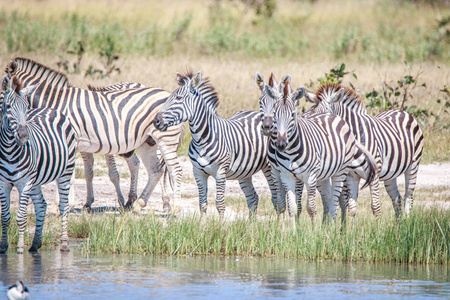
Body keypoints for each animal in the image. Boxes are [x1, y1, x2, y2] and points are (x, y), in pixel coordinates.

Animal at [0, 74, 77, 253]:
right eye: (8, 106)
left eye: (26, 108)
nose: (23, 136)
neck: (9, 151)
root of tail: (51, 109)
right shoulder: (3, 183)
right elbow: (5, 217)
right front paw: (4, 247)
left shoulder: (25, 182)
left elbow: (21, 217)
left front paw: (20, 248)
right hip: (36, 180)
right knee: (41, 206)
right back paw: (35, 244)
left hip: (65, 171)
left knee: (64, 206)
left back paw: (64, 243)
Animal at [5, 58, 185, 213]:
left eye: (3, 86)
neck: (55, 101)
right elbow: (85, 173)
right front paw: (79, 204)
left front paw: (60, 206)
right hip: (146, 142)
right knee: (155, 171)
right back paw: (138, 204)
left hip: (165, 139)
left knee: (174, 170)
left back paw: (172, 207)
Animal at [154, 72, 278, 218]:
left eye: (178, 98)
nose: (156, 121)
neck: (201, 140)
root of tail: (258, 113)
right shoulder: (198, 172)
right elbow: (202, 204)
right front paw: (201, 224)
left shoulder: (220, 171)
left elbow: (220, 203)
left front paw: (220, 225)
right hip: (244, 171)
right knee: (253, 197)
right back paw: (251, 224)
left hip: (269, 167)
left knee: (276, 197)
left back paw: (278, 222)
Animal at [264, 78, 376, 224]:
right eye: (274, 115)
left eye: (293, 115)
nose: (281, 144)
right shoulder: (284, 175)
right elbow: (291, 207)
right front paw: (290, 229)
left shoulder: (311, 176)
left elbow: (311, 208)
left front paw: (312, 230)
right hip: (322, 174)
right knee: (326, 199)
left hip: (341, 171)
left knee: (335, 201)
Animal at [304, 83, 424, 217]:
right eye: (312, 113)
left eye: (325, 115)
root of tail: (400, 111)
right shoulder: (351, 176)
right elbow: (352, 208)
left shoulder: (374, 174)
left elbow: (375, 207)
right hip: (391, 174)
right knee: (397, 198)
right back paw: (399, 222)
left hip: (413, 165)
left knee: (408, 197)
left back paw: (407, 221)